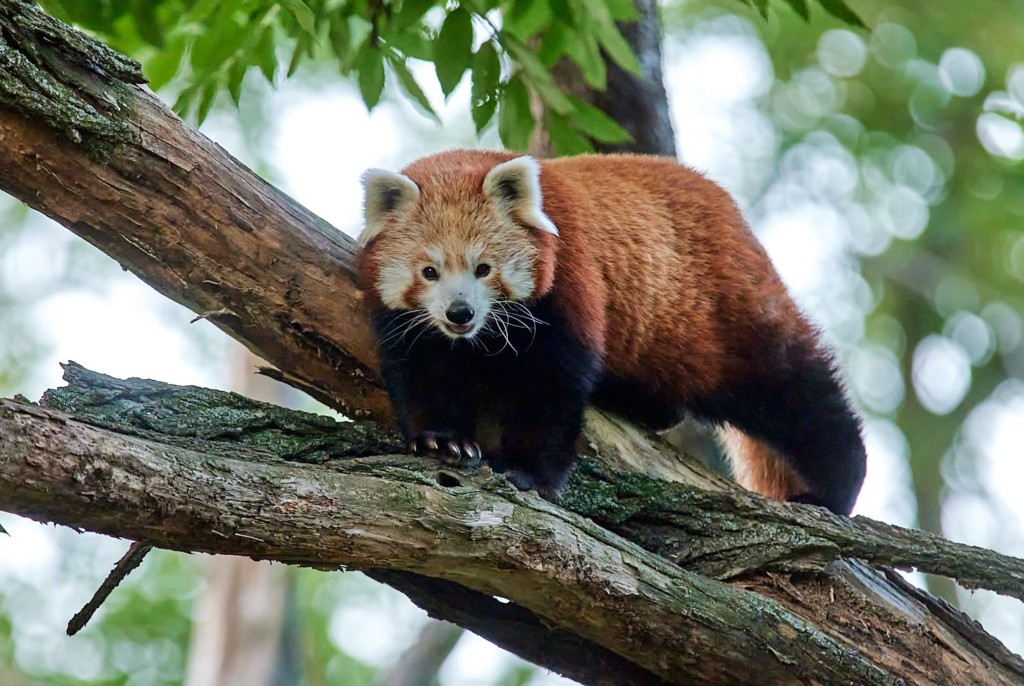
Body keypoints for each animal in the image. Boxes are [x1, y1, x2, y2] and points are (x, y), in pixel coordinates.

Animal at [356, 149, 868, 516]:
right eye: (429, 272)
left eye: (483, 269)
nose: (460, 313)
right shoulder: (410, 326)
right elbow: (421, 374)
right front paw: (442, 439)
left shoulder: (569, 281)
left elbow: (551, 388)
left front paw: (526, 472)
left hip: (724, 309)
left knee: (792, 389)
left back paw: (836, 487)